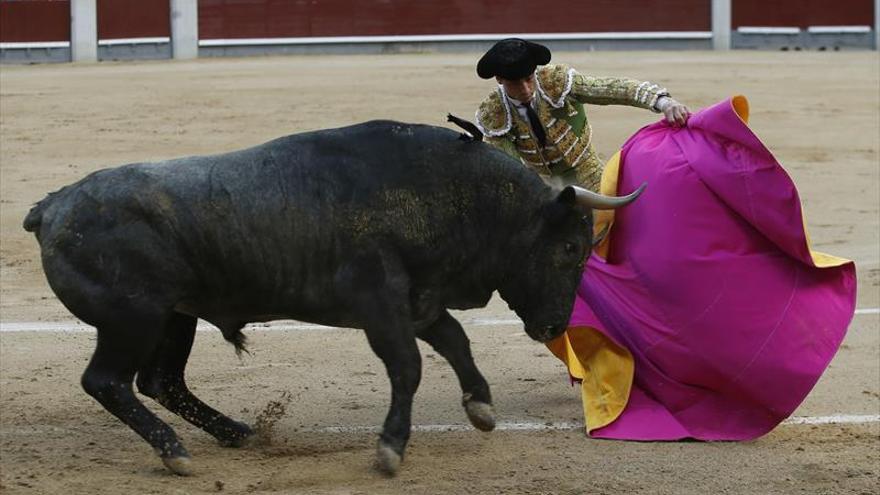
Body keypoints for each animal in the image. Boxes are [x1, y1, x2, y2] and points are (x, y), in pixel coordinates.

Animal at [20, 120, 640, 476]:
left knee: (160, 381)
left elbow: (455, 342)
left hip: (176, 317)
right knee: (107, 381)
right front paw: (390, 450)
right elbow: (410, 365)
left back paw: (238, 433)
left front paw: (482, 410)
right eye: (569, 248)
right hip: (133, 319)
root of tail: (52, 206)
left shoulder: (418, 301)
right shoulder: (379, 306)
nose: (554, 326)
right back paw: (174, 452)